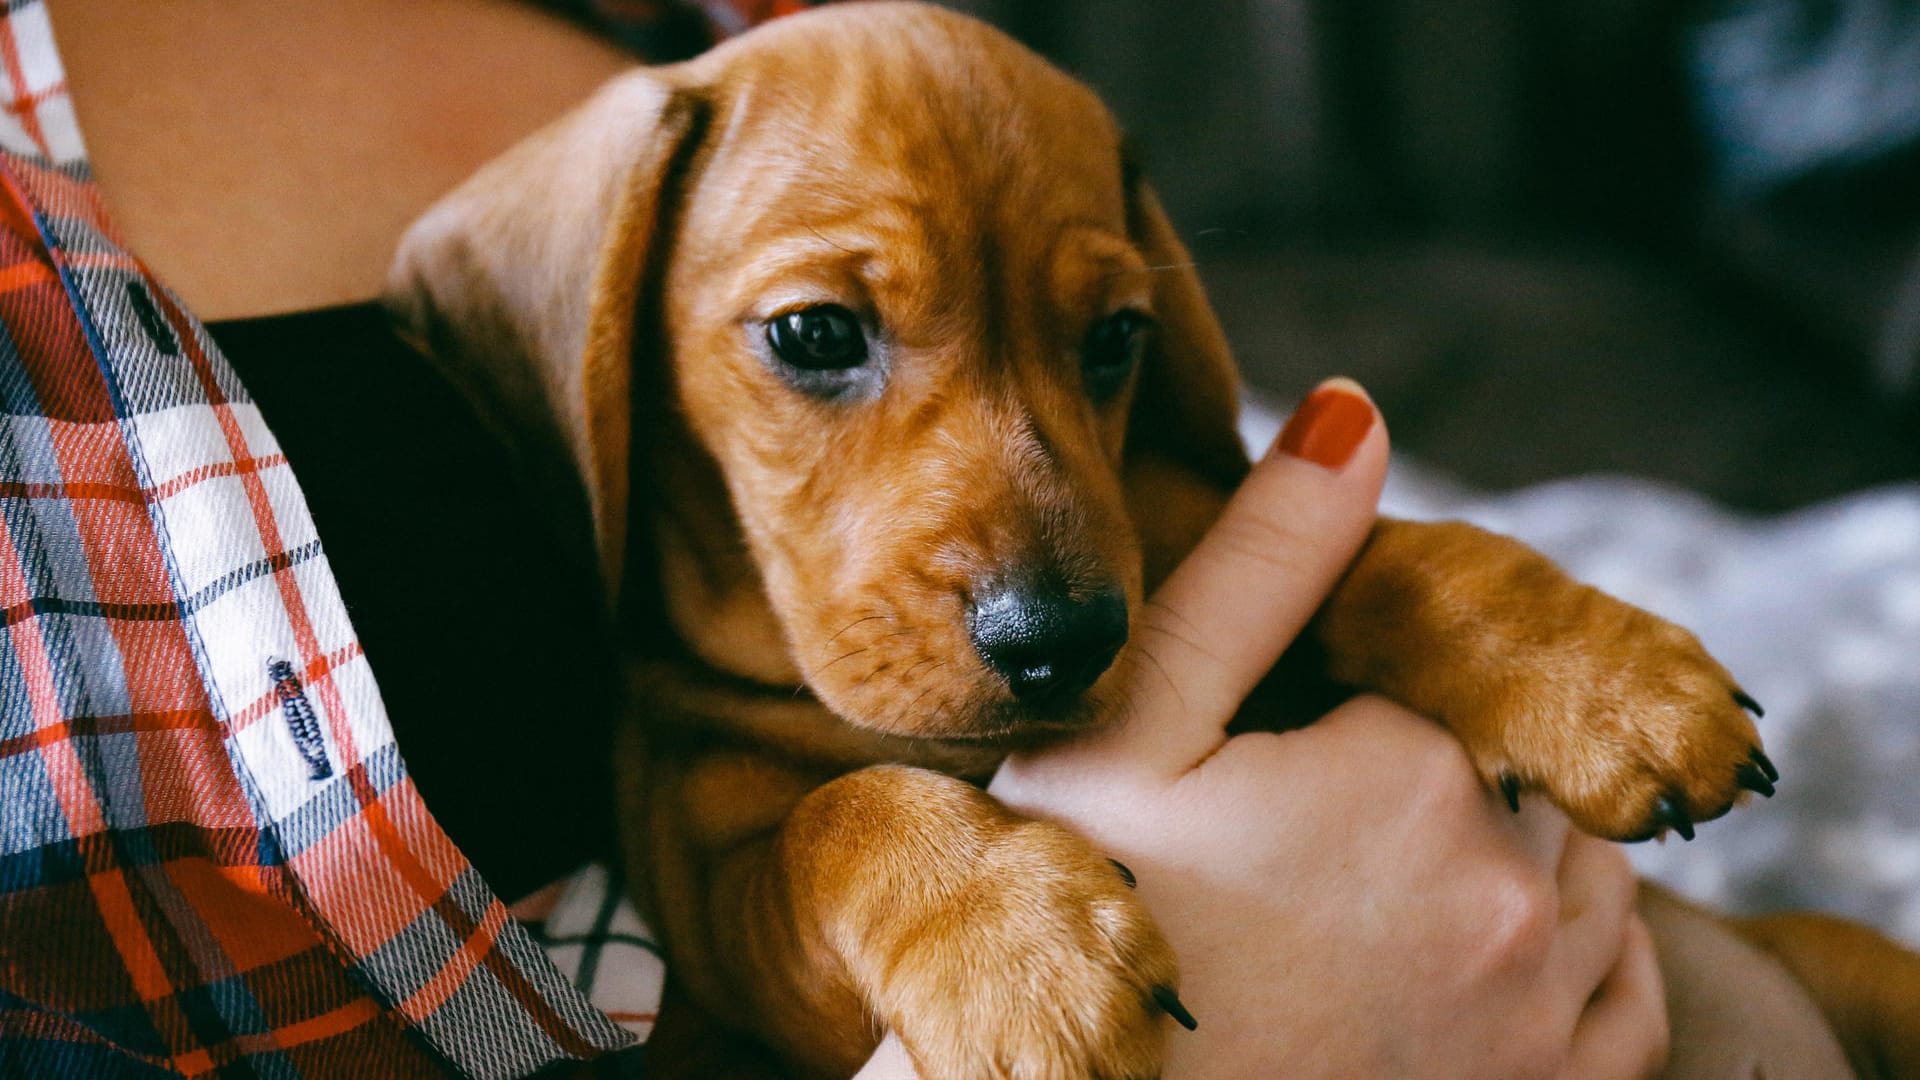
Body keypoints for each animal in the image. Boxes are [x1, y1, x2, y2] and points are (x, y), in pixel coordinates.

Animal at [382, 4, 1912, 1068]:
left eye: (1116, 338)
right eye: (814, 334)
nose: (1059, 644)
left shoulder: (1189, 537)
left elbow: (1402, 556)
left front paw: (1599, 680)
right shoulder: (720, 906)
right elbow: (844, 812)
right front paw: (1018, 946)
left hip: (1851, 961)